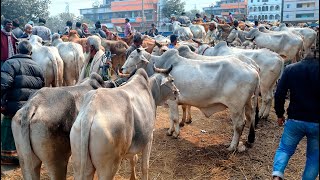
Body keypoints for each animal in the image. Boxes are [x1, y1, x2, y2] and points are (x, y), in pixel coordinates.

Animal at [122, 48, 260, 152]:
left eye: (132, 56)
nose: (122, 69)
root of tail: (253, 70)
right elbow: (171, 118)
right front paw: (170, 131)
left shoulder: (172, 102)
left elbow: (175, 118)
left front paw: (176, 133)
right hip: (247, 103)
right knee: (250, 117)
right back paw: (248, 140)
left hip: (235, 107)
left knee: (239, 125)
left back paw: (232, 146)